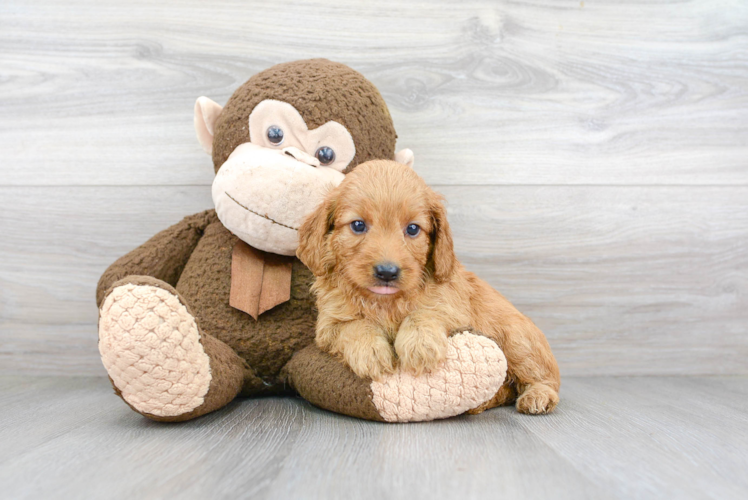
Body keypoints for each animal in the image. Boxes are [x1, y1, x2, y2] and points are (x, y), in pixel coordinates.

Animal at [296, 160, 560, 414]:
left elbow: (423, 313)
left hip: (517, 341)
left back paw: (538, 396)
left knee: (545, 378)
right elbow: (353, 326)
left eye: (413, 229)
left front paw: (420, 345)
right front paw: (370, 351)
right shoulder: (328, 326)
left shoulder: (454, 310)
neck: (385, 303)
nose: (387, 272)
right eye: (358, 225)